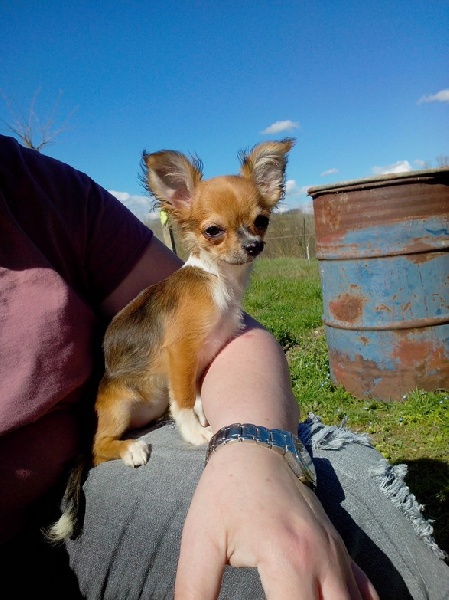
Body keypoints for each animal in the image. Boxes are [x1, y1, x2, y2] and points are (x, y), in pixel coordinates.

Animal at [46, 139, 294, 540]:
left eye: (262, 220)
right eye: (213, 231)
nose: (254, 246)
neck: (218, 281)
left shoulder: (205, 355)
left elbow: (195, 394)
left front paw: (202, 416)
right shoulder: (182, 353)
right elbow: (183, 401)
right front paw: (194, 433)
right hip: (118, 405)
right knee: (97, 449)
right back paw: (129, 448)